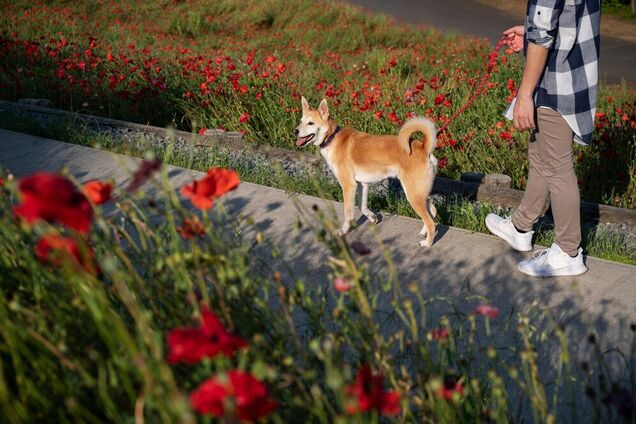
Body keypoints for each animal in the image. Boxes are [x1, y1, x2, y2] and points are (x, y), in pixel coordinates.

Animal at [294, 97, 438, 247]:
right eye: (301, 121)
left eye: (310, 123)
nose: (295, 131)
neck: (332, 138)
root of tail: (424, 148)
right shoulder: (362, 184)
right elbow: (362, 206)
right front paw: (372, 217)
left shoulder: (348, 186)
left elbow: (348, 213)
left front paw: (344, 231)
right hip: (419, 192)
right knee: (432, 211)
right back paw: (424, 232)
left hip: (413, 195)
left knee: (431, 222)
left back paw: (427, 243)